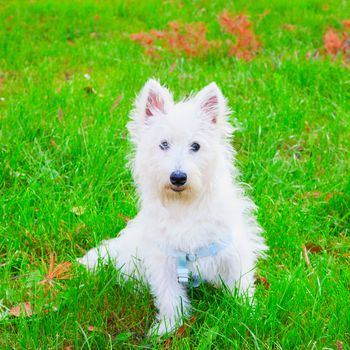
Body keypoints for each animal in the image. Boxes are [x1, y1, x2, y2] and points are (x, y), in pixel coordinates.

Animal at [78, 79, 266, 336]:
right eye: (163, 144)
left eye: (196, 146)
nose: (178, 177)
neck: (185, 206)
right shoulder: (164, 261)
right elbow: (169, 297)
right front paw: (168, 327)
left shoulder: (233, 252)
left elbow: (242, 286)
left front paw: (249, 316)